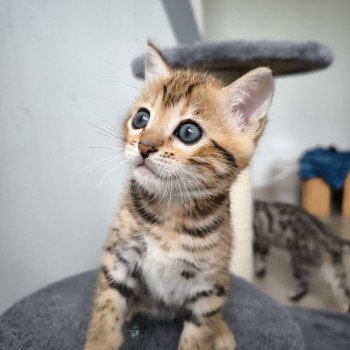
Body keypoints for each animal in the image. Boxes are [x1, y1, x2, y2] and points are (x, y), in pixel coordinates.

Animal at [84, 43, 274, 350]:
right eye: (141, 118)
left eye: (188, 131)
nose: (144, 146)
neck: (169, 214)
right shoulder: (119, 258)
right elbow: (107, 307)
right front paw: (100, 340)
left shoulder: (207, 285)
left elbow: (198, 333)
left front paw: (209, 332)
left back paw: (220, 330)